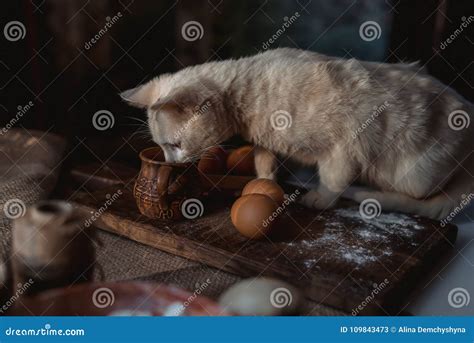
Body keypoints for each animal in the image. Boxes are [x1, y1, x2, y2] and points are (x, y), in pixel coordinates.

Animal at [120, 47, 472, 220]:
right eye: (163, 148)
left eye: (174, 145)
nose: (171, 164)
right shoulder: (264, 142)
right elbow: (264, 163)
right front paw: (266, 184)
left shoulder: (346, 145)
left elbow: (332, 180)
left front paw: (319, 199)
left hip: (412, 173)